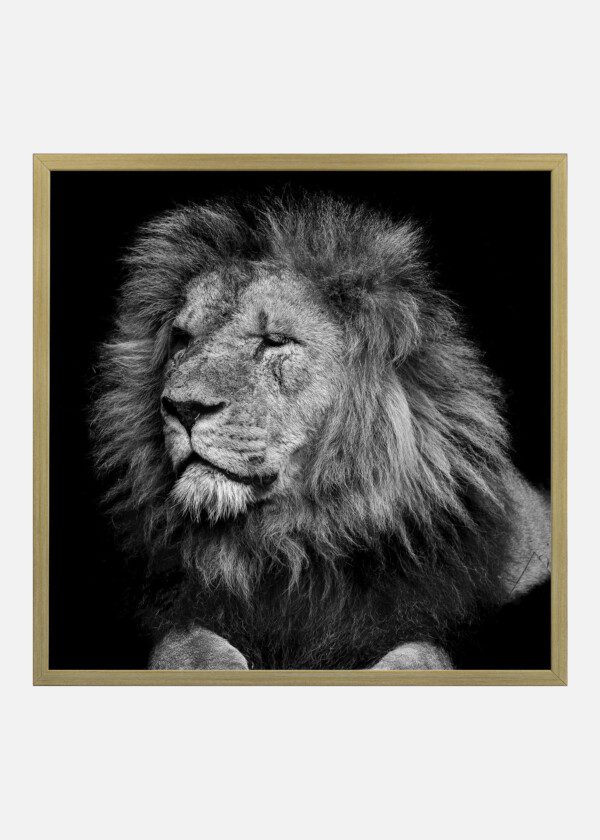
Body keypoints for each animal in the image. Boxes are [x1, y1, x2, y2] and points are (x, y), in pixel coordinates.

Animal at [92, 195, 550, 670]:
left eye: (275, 341)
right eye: (182, 339)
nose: (181, 407)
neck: (294, 544)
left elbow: (418, 657)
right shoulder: (180, 610)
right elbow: (191, 649)